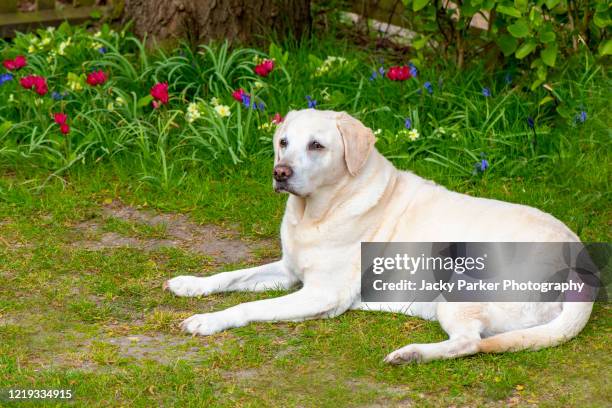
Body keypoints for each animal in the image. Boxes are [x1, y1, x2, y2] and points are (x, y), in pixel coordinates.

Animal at [164, 109, 592, 364]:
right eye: (283, 142)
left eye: (316, 146)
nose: (280, 172)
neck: (320, 210)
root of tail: (580, 262)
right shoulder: (288, 271)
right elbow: (230, 276)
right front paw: (191, 284)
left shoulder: (321, 294)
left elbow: (248, 306)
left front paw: (209, 320)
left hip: (461, 281)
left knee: (470, 342)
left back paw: (412, 354)